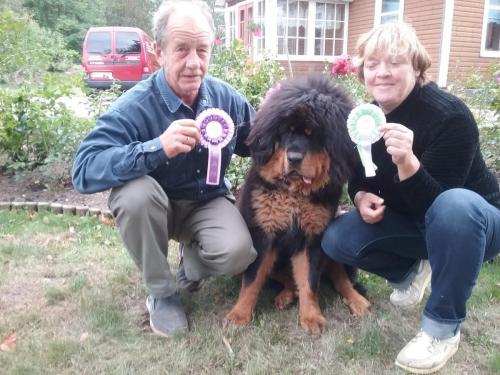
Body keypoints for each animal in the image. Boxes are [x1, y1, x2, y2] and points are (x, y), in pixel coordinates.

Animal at [225, 74, 370, 334]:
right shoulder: (263, 236)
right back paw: (285, 296)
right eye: (286, 132)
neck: (294, 195)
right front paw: (239, 315)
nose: (293, 158)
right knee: (284, 279)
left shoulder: (313, 239)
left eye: (313, 134)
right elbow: (252, 280)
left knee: (340, 279)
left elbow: (309, 282)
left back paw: (357, 301)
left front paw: (311, 316)